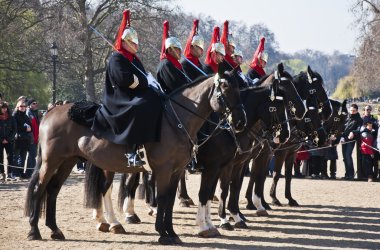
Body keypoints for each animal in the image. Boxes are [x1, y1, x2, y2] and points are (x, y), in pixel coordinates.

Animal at [25, 66, 248, 244]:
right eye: (225, 89)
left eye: (239, 90)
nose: (240, 122)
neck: (176, 120)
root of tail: (51, 110)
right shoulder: (168, 169)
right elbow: (165, 197)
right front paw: (163, 233)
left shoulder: (177, 170)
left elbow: (170, 199)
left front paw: (172, 232)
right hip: (51, 161)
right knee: (40, 188)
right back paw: (34, 231)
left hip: (68, 161)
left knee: (53, 190)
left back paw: (56, 229)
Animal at [245, 66, 332, 209]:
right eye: (317, 87)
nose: (328, 111)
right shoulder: (276, 153)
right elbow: (265, 174)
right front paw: (266, 199)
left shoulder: (289, 153)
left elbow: (283, 175)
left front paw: (287, 199)